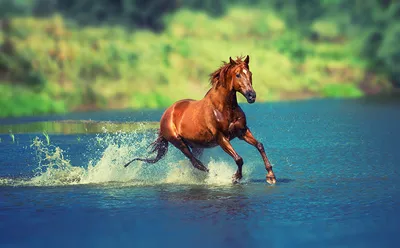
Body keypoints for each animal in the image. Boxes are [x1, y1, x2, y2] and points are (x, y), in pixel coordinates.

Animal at [123, 55, 276, 184]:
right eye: (237, 74)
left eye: (250, 74)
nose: (251, 96)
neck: (223, 108)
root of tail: (166, 114)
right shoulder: (221, 138)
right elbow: (239, 158)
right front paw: (235, 177)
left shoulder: (242, 131)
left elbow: (259, 145)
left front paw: (271, 176)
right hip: (179, 142)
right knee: (196, 163)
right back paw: (213, 175)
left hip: (197, 145)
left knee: (196, 162)